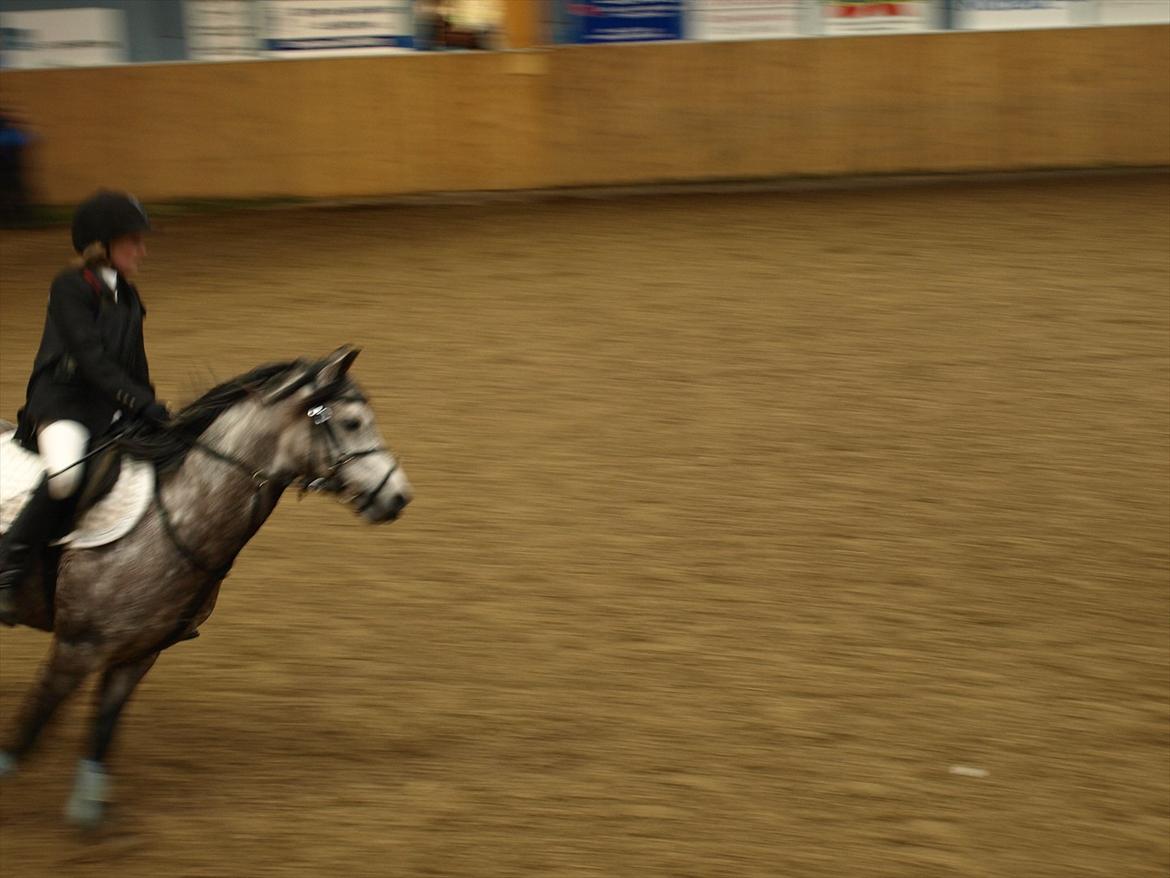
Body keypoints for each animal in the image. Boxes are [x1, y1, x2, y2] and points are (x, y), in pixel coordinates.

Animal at [0, 345, 412, 827]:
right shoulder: (75, 648)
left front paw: (89, 812)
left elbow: (102, 729)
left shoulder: (138, 654)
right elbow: (28, 731)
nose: (398, 496)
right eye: (351, 423)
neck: (172, 516)